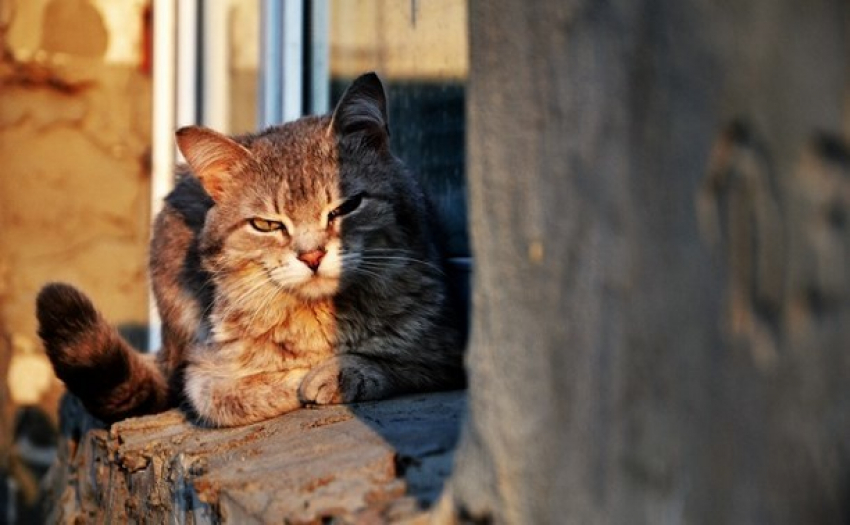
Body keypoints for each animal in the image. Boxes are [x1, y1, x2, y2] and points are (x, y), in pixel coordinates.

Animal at [34, 72, 464, 426]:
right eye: (266, 224)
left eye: (345, 208)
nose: (311, 256)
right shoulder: (203, 371)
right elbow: (230, 395)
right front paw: (295, 379)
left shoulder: (446, 346)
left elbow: (403, 361)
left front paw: (341, 372)